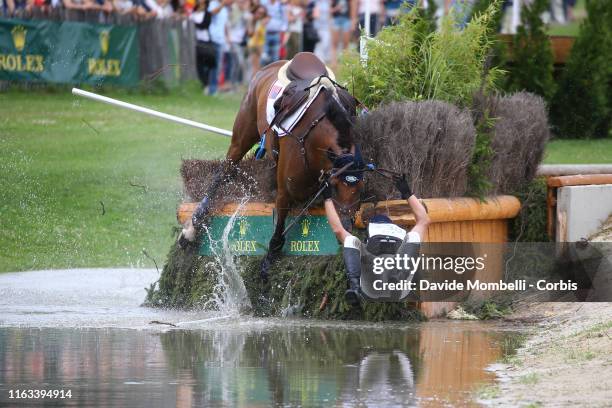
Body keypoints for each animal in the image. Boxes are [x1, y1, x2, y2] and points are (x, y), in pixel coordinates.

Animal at [180, 51, 364, 278]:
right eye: (337, 187)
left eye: (360, 190)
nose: (346, 228)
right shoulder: (287, 189)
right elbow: (280, 219)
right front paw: (270, 257)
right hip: (243, 135)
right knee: (224, 173)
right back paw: (191, 227)